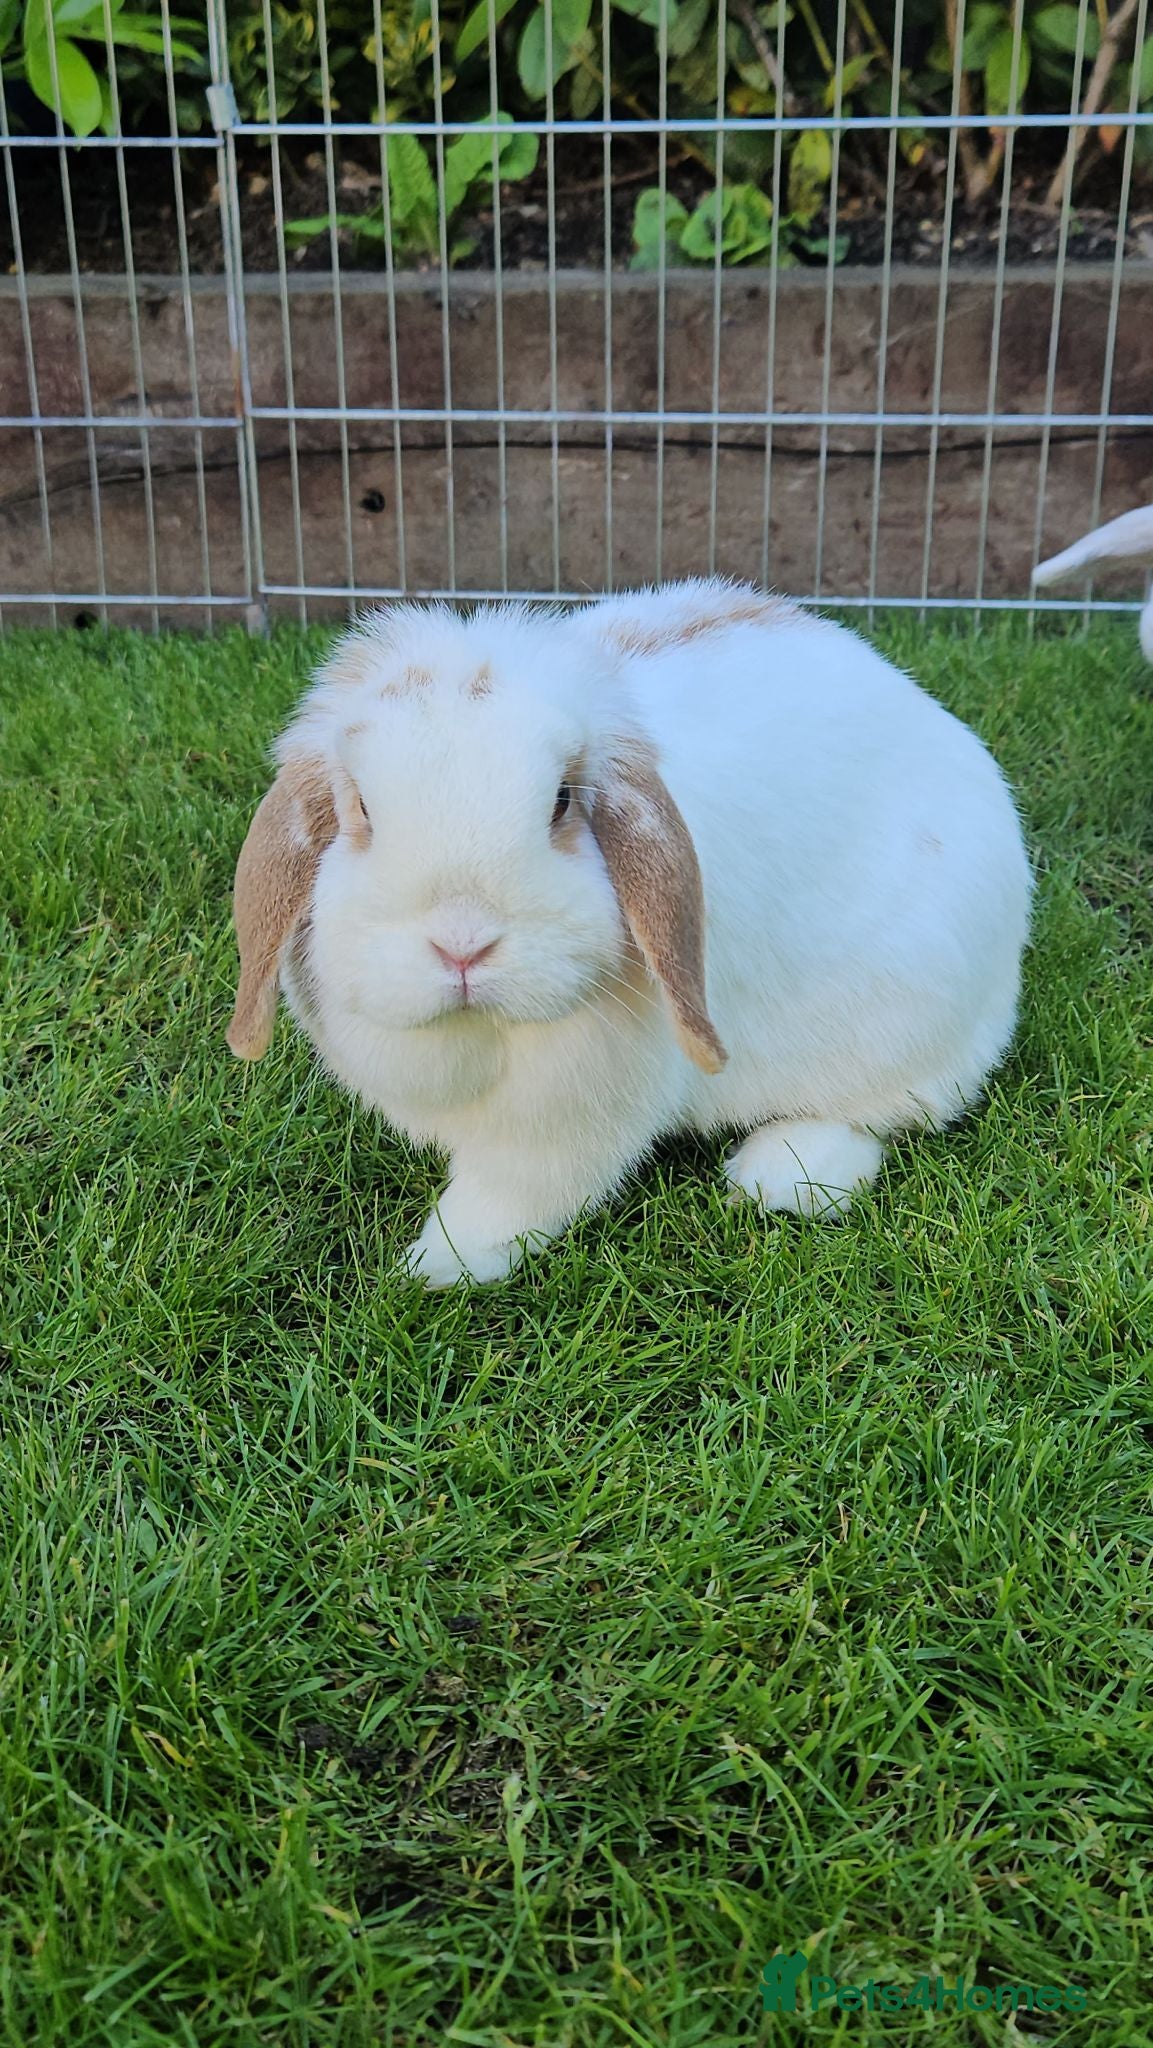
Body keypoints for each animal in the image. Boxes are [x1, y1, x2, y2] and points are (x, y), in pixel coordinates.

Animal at [226, 579, 1032, 1287]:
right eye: (362, 807)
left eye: (561, 801)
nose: (463, 945)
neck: (481, 1034)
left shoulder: (563, 1126)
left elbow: (510, 1197)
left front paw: (437, 1265)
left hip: (905, 1023)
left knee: (883, 1116)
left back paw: (781, 1175)